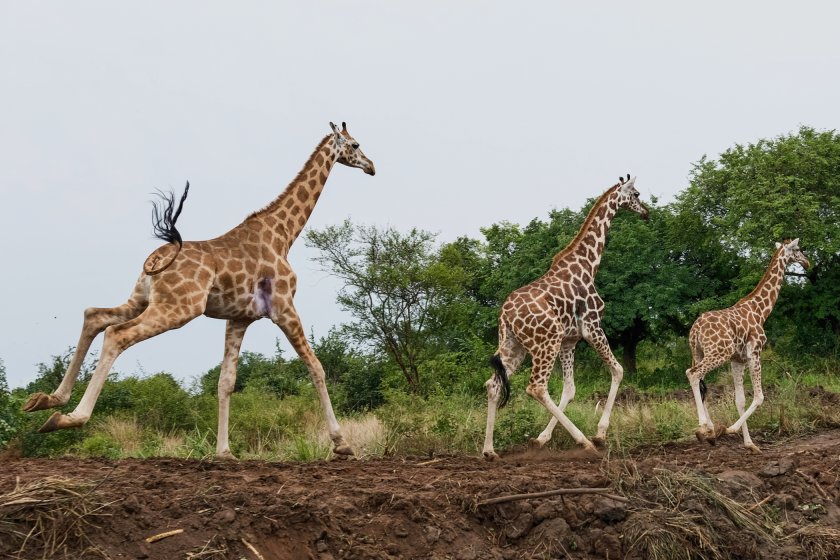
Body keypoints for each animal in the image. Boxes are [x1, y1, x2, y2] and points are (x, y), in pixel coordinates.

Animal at [23, 122, 375, 459]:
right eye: (356, 144)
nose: (371, 166)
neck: (283, 234)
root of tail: (155, 258)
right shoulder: (283, 305)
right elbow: (316, 367)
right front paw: (342, 444)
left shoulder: (240, 318)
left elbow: (225, 382)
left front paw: (224, 452)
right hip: (178, 307)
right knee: (117, 334)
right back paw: (71, 418)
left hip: (142, 298)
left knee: (95, 315)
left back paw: (48, 400)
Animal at [482, 175, 649, 460]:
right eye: (636, 193)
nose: (646, 212)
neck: (589, 264)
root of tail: (505, 315)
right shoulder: (592, 326)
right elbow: (617, 370)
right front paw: (600, 434)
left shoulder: (570, 340)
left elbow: (569, 389)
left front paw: (541, 439)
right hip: (545, 342)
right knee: (536, 387)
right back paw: (584, 441)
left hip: (515, 346)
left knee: (493, 385)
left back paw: (489, 451)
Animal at [686, 238, 809, 453]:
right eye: (798, 249)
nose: (807, 262)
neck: (761, 310)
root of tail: (695, 330)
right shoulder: (755, 353)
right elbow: (759, 396)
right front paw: (730, 429)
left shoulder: (738, 360)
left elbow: (740, 400)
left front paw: (750, 444)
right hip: (718, 353)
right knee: (692, 373)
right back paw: (704, 427)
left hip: (699, 352)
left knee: (699, 381)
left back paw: (709, 430)